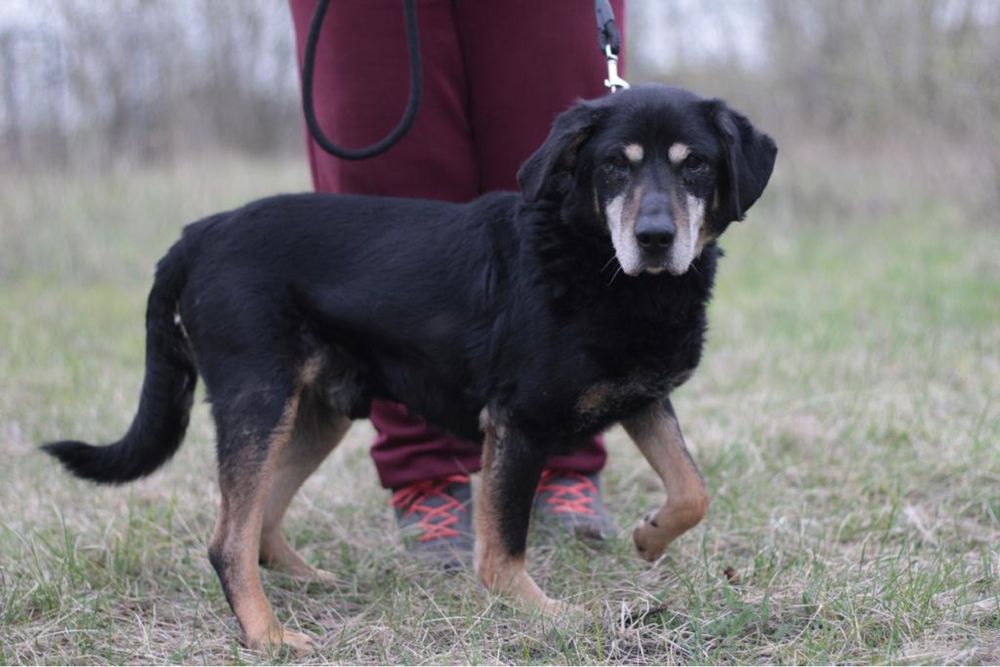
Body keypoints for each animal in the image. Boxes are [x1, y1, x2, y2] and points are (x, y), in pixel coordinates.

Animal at [43, 85, 776, 652]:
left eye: (696, 165)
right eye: (613, 168)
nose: (654, 238)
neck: (593, 261)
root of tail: (195, 235)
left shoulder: (643, 398)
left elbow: (692, 487)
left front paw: (650, 538)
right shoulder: (518, 422)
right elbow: (502, 548)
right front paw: (545, 615)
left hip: (317, 411)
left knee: (261, 520)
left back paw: (309, 581)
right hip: (259, 396)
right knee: (228, 537)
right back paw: (267, 635)